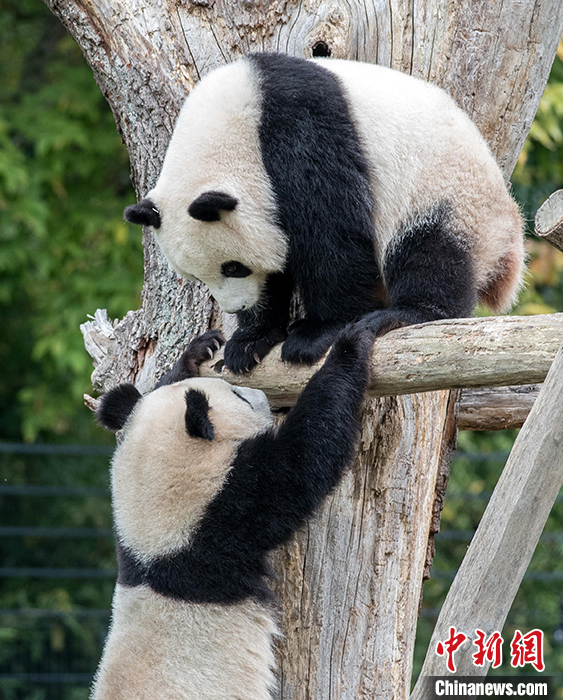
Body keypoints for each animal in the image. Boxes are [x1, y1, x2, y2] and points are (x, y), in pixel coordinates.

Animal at [91, 328, 374, 700]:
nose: (263, 395)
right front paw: (348, 346)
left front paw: (197, 351)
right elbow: (302, 462)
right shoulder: (225, 510)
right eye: (240, 396)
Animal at [125, 53, 528, 378]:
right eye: (196, 276)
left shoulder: (301, 131)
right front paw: (249, 341)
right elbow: (278, 268)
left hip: (449, 195)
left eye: (233, 267)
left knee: (430, 251)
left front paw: (313, 334)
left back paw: (407, 313)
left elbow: (331, 235)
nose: (238, 306)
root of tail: (510, 237)